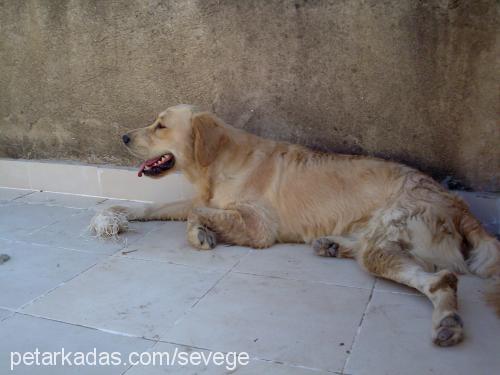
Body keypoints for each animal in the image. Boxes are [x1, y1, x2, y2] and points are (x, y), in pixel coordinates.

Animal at [92, 103, 498, 346]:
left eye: (160, 126)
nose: (123, 136)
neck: (219, 160)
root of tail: (458, 203)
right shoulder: (206, 199)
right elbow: (161, 205)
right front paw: (118, 213)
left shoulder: (258, 226)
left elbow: (195, 215)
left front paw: (201, 233)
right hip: (376, 236)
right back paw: (331, 244)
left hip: (389, 240)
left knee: (440, 279)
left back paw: (448, 322)